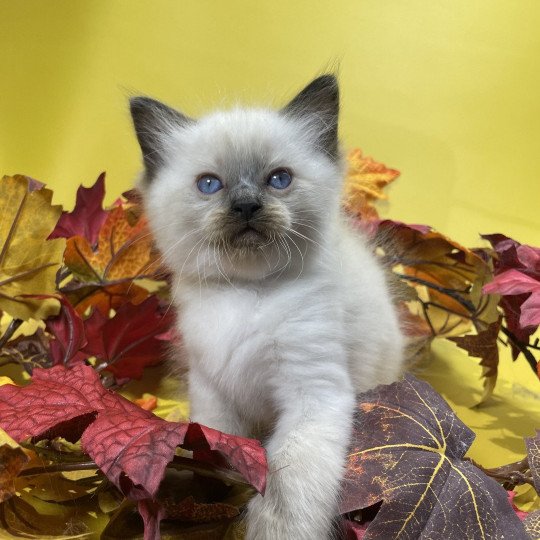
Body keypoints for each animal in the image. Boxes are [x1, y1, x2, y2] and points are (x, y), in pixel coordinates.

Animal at [130, 76, 400, 540]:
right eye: (209, 184)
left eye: (279, 179)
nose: (245, 206)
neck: (246, 292)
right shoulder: (212, 389)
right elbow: (213, 446)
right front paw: (200, 495)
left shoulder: (313, 393)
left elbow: (287, 480)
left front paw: (272, 529)